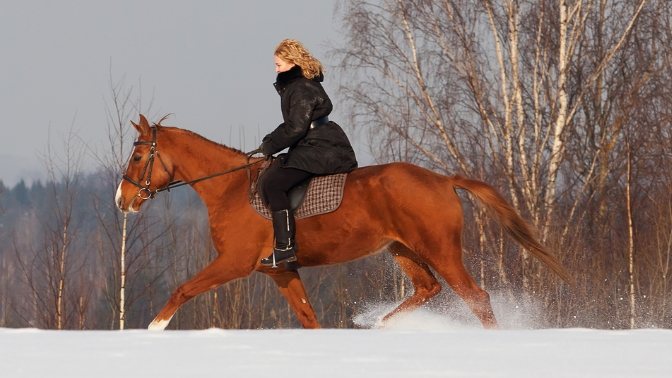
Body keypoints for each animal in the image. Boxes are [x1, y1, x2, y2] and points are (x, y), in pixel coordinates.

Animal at [115, 113, 572, 330]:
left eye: (137, 156)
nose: (122, 201)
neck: (230, 188)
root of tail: (444, 179)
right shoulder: (280, 271)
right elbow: (308, 318)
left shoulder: (235, 263)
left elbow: (182, 290)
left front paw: (152, 330)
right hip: (402, 250)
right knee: (428, 289)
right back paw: (381, 327)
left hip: (440, 250)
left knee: (476, 298)